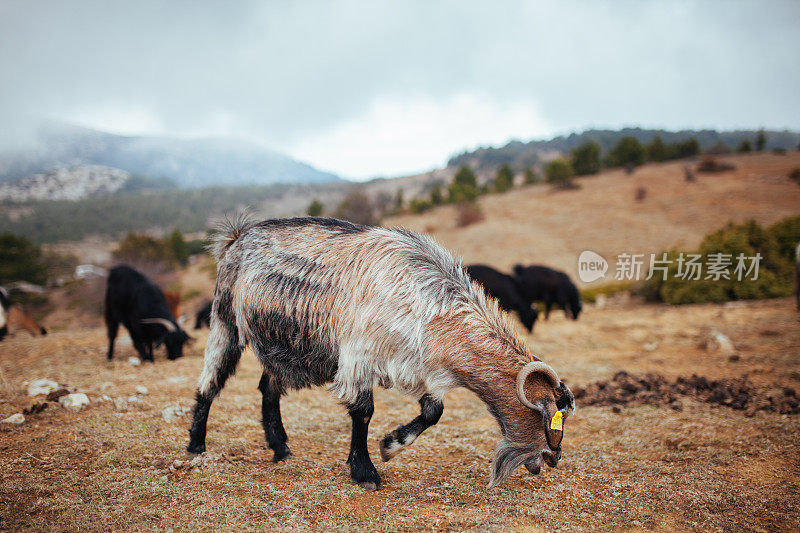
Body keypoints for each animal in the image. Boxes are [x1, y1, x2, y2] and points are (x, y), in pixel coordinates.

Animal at [189, 214, 576, 488]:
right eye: (551, 421)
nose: (553, 460)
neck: (426, 299)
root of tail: (236, 237)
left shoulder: (414, 363)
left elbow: (433, 411)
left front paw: (391, 445)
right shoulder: (359, 357)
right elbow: (363, 411)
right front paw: (366, 472)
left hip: (281, 346)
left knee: (268, 388)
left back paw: (281, 448)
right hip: (226, 323)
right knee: (209, 384)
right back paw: (195, 447)